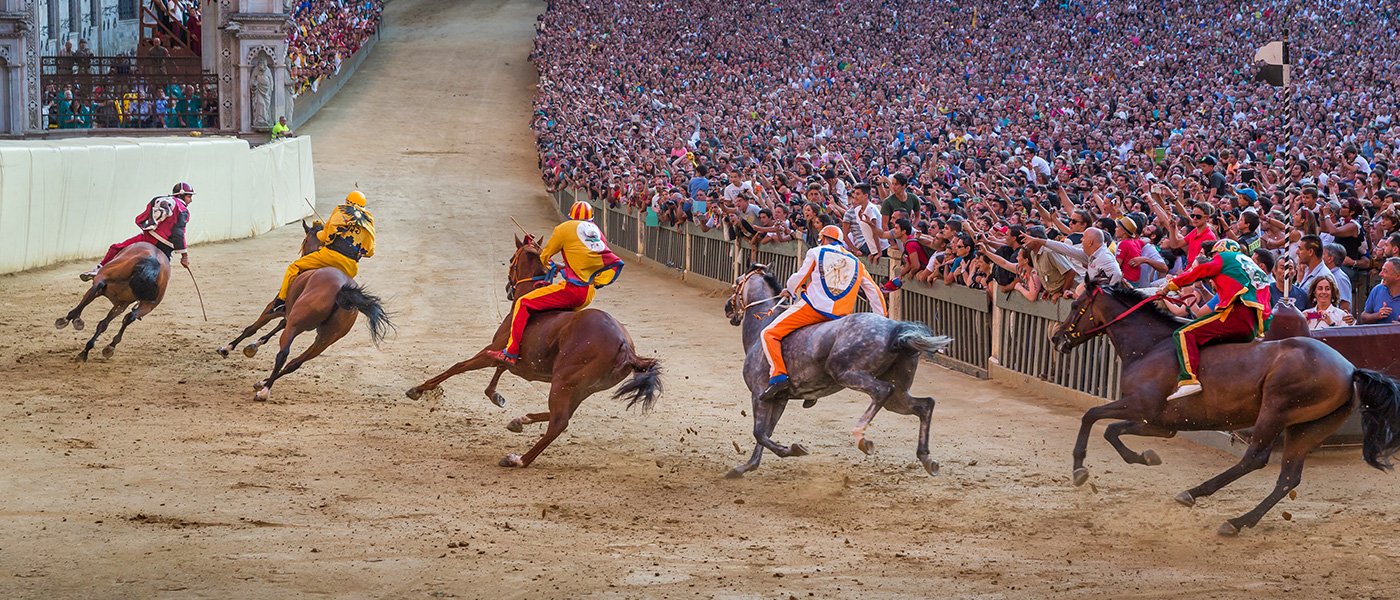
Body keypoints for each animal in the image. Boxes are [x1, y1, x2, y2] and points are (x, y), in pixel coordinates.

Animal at [218, 222, 394, 400]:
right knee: (295, 363)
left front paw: (227, 348)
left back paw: (264, 391)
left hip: (297, 325)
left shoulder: (274, 308)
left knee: (283, 354)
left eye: (305, 240)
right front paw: (254, 345)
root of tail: (342, 290)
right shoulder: (289, 315)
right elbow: (276, 327)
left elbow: (252, 328)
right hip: (325, 339)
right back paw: (263, 382)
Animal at [403, 233, 663, 467]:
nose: (508, 288)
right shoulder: (512, 359)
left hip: (564, 381)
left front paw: (419, 389)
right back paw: (520, 421)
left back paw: (518, 459)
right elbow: (498, 372)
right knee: (562, 416)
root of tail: (625, 347)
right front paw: (498, 398)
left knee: (558, 422)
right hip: (582, 388)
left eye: (511, 259)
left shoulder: (491, 351)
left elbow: (458, 367)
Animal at [722, 264, 952, 478]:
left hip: (846, 373)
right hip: (898, 396)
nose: (727, 308)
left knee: (882, 391)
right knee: (925, 405)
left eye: (737, 282)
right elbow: (766, 434)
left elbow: (759, 433)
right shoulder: (779, 399)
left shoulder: (759, 395)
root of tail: (895, 330)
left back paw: (861, 437)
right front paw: (747, 466)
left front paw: (792, 449)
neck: (762, 329)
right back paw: (926, 458)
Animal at [1052, 282, 1400, 534]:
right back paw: (1240, 520)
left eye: (1075, 305)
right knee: (1288, 478)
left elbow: (1093, 418)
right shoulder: (1159, 424)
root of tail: (1350, 369)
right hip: (1307, 429)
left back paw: (1198, 495)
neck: (1150, 346)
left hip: (1275, 410)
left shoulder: (1141, 407)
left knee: (1255, 459)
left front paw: (1080, 469)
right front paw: (1145, 456)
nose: (1057, 338)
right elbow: (1112, 430)